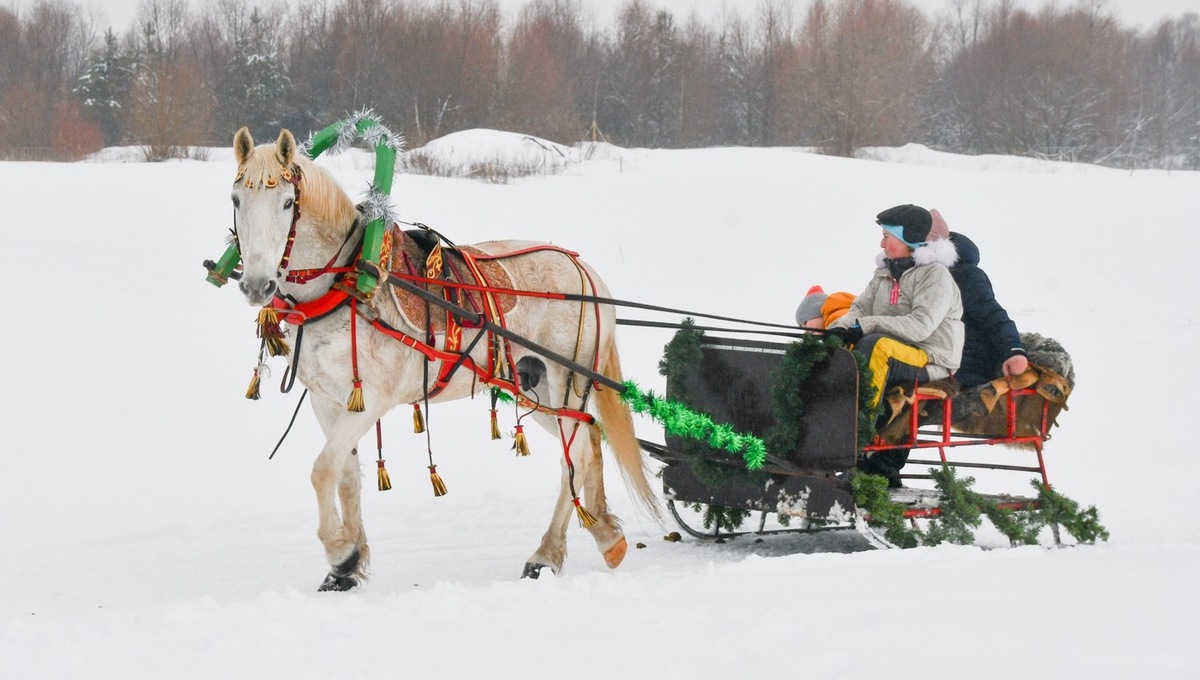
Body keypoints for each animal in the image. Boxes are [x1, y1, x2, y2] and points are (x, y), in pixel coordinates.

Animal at [229, 127, 662, 590]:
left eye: (286, 202)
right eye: (236, 199)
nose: (256, 285)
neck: (347, 283)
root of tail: (587, 272)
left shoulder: (371, 400)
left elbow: (322, 470)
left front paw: (340, 552)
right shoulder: (327, 401)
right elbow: (345, 475)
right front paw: (347, 565)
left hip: (567, 381)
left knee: (576, 456)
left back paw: (555, 552)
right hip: (535, 388)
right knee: (588, 442)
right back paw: (593, 538)